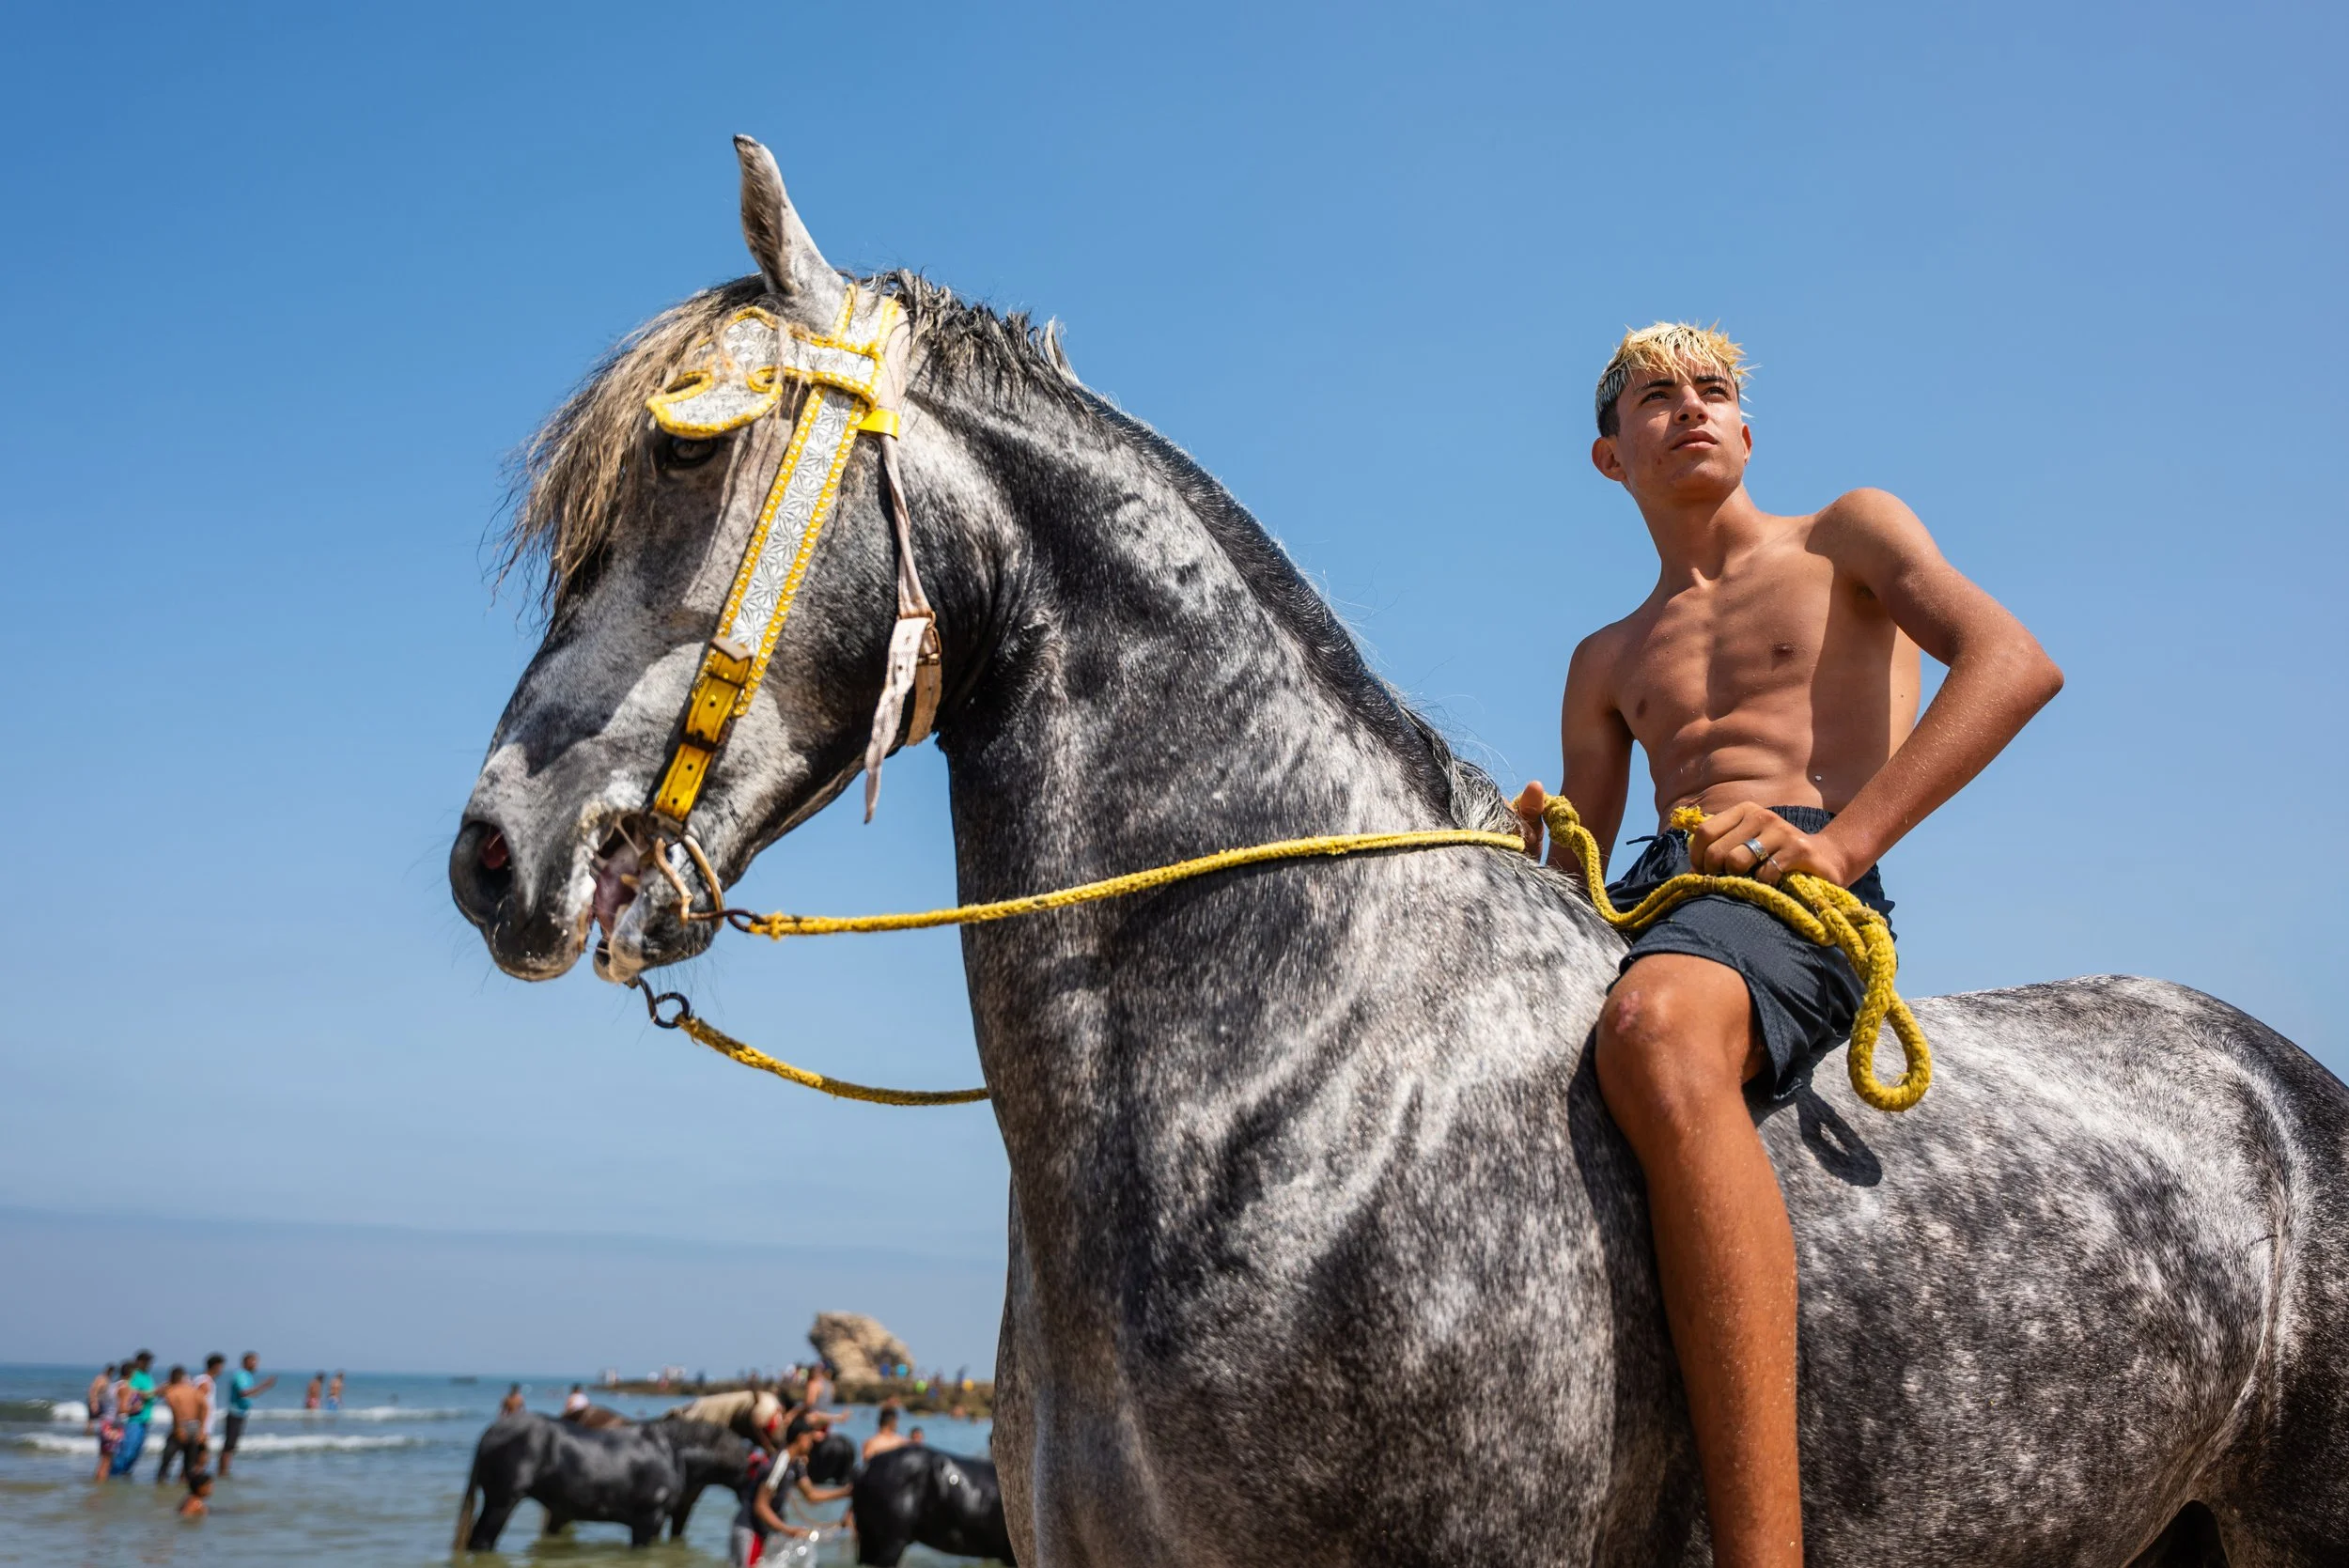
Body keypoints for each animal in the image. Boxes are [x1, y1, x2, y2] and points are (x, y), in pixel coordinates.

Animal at [453, 1411, 749, 1550]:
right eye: (751, 1466)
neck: (671, 1452)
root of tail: (491, 1432)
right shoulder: (647, 1519)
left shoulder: (656, 1521)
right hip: (502, 1502)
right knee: (482, 1541)